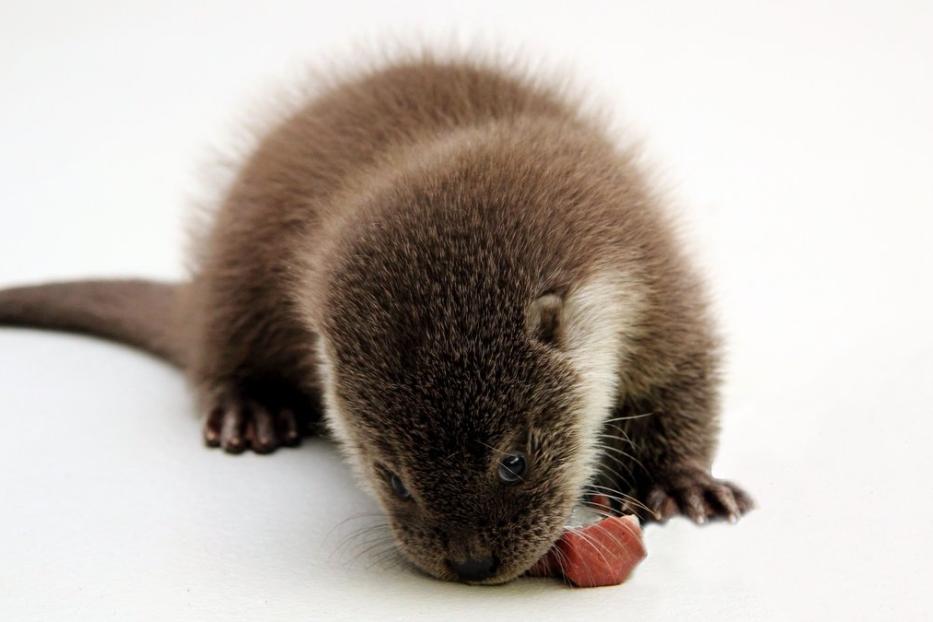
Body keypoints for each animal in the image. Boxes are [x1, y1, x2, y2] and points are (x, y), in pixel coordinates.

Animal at [0, 55, 752, 584]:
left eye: (512, 462)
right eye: (391, 478)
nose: (471, 564)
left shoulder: (659, 285)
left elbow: (684, 385)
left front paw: (681, 483)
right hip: (237, 273)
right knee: (219, 350)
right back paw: (250, 407)